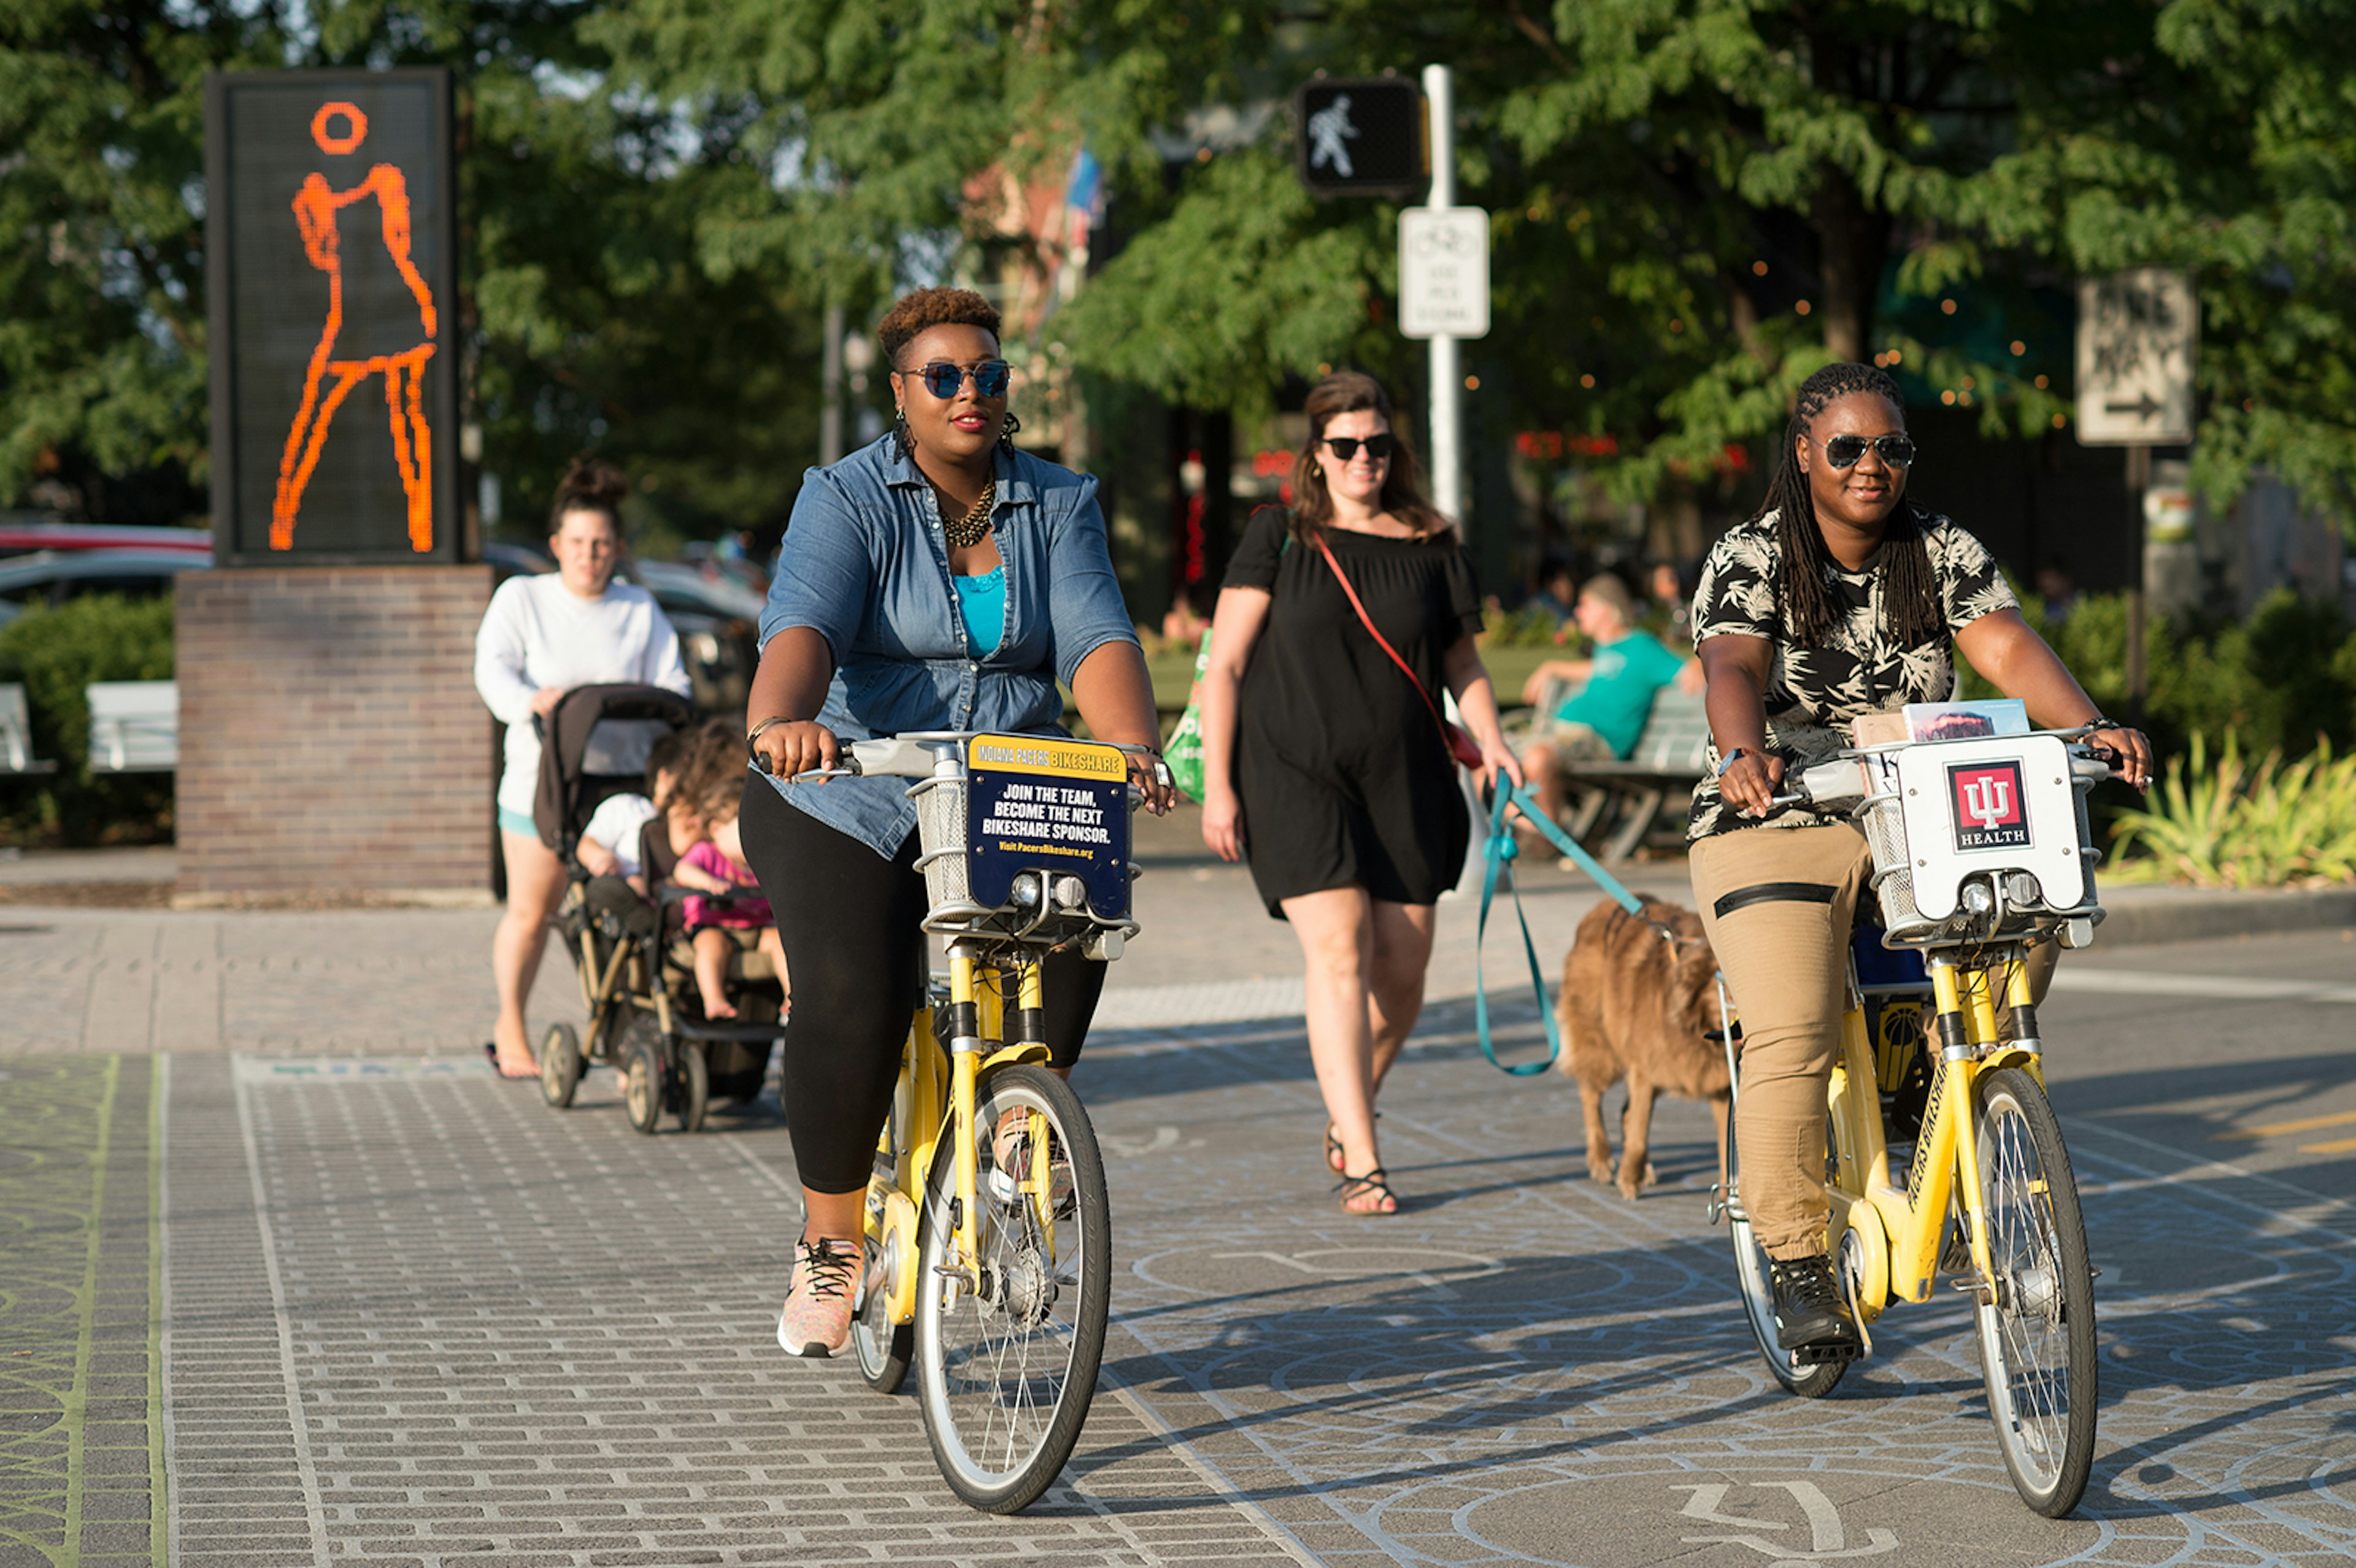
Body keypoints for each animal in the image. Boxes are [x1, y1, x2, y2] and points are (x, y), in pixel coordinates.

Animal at [1564, 890, 1734, 1196]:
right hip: (1601, 1045)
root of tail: (1600, 908)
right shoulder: (1645, 1068)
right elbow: (1641, 1128)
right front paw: (1630, 1179)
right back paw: (1601, 1158)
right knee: (1591, 1095)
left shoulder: (1721, 1087)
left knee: (1625, 1111)